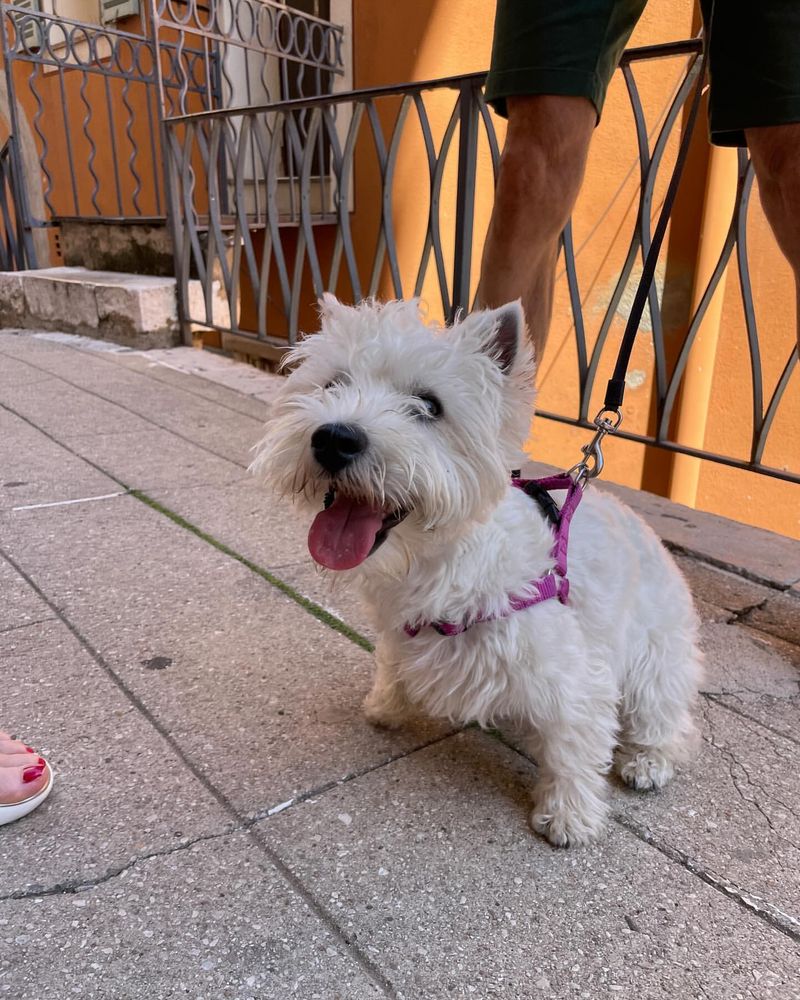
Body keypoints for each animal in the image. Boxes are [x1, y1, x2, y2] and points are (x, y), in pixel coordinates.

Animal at [255, 294, 700, 844]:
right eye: (332, 384)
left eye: (429, 406)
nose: (334, 438)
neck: (441, 560)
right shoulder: (400, 630)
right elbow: (393, 664)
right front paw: (386, 707)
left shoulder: (577, 676)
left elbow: (574, 749)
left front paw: (568, 816)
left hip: (657, 660)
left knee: (665, 720)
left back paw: (647, 763)